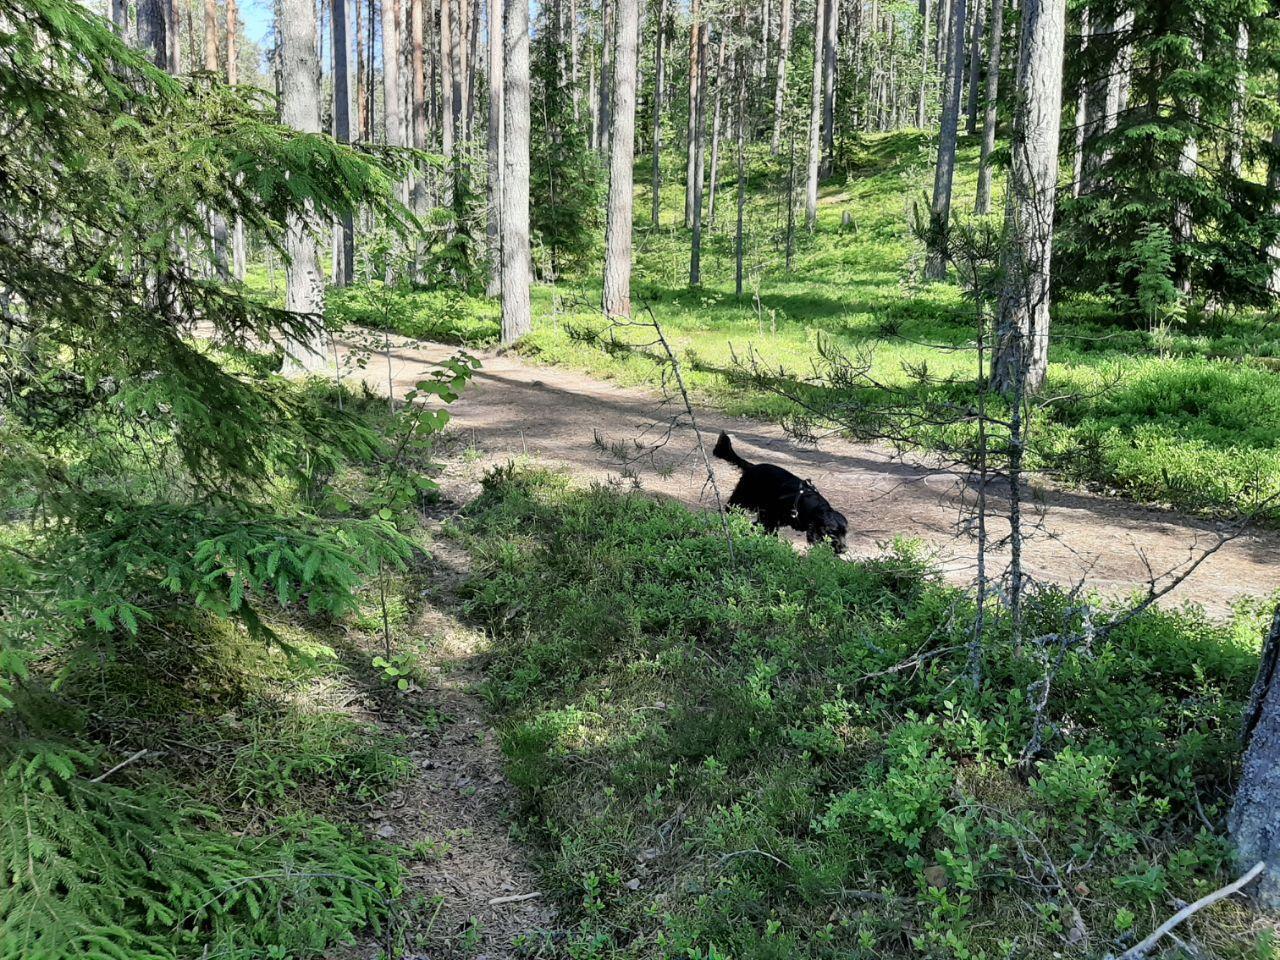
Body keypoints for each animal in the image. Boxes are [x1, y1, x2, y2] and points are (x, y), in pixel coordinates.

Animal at [716, 432, 844, 552]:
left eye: (844, 534)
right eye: (832, 533)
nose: (843, 549)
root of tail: (752, 467)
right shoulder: (771, 514)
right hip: (745, 498)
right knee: (731, 506)